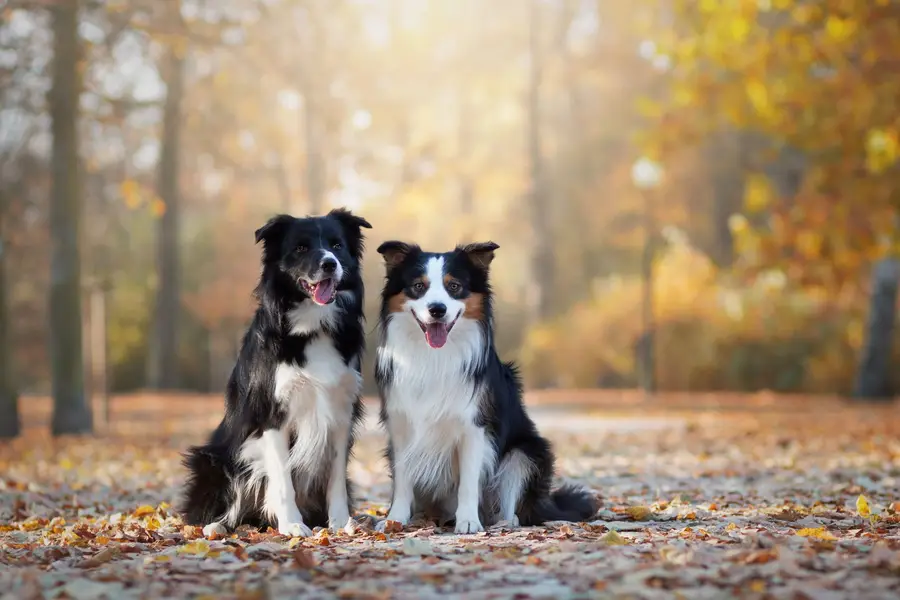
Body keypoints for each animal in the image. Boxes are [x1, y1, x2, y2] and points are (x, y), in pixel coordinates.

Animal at [181, 209, 370, 536]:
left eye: (337, 245)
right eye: (301, 248)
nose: (330, 263)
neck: (314, 328)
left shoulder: (340, 414)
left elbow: (335, 479)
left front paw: (340, 522)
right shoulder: (271, 415)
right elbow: (283, 480)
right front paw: (292, 524)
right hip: (214, 460)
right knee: (223, 507)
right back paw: (217, 526)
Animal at [372, 241, 596, 532]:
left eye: (454, 286)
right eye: (418, 286)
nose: (437, 309)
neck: (434, 356)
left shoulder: (474, 427)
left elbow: (468, 481)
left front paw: (468, 521)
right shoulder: (401, 427)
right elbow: (402, 480)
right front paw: (395, 519)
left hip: (527, 452)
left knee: (512, 503)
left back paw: (503, 522)